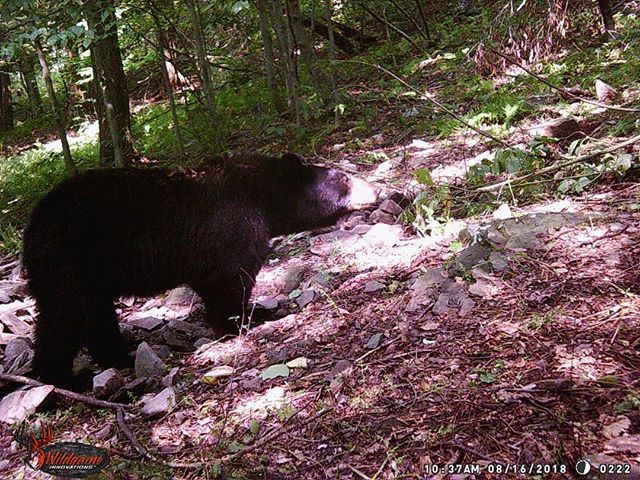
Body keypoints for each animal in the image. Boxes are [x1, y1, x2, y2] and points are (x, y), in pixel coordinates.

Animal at [22, 152, 380, 388]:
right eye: (344, 179)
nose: (375, 191)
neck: (261, 194)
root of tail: (33, 226)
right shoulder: (232, 225)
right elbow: (229, 278)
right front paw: (246, 320)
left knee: (95, 315)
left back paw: (118, 356)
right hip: (68, 262)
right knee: (65, 316)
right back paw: (63, 378)